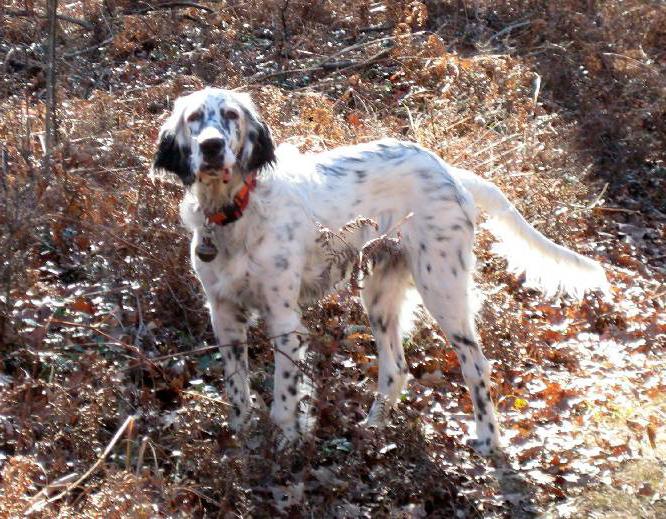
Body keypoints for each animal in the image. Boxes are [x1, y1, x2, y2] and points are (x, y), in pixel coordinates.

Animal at [152, 87, 608, 458]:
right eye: (194, 118)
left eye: (230, 115)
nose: (211, 147)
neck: (233, 213)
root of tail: (448, 170)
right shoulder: (224, 315)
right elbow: (238, 394)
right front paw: (244, 442)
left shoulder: (283, 320)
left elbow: (283, 400)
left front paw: (285, 447)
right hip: (379, 294)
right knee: (395, 368)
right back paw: (374, 428)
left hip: (441, 286)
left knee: (476, 365)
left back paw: (488, 440)